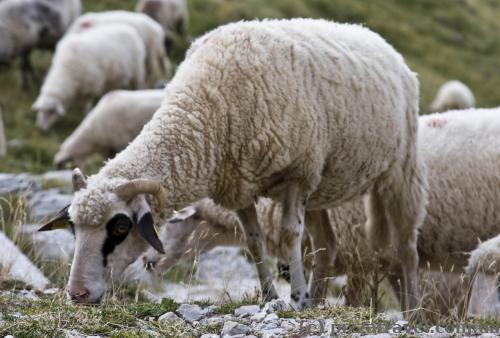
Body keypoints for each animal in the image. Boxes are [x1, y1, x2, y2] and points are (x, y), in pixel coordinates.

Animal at [38, 19, 426, 312]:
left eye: (119, 227)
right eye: (72, 227)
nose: (77, 294)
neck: (205, 106)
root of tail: (372, 35)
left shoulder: (297, 174)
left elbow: (289, 235)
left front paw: (296, 299)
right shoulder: (238, 187)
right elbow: (254, 243)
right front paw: (271, 297)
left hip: (400, 171)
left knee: (406, 249)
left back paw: (412, 313)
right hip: (322, 186)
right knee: (328, 246)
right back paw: (318, 302)